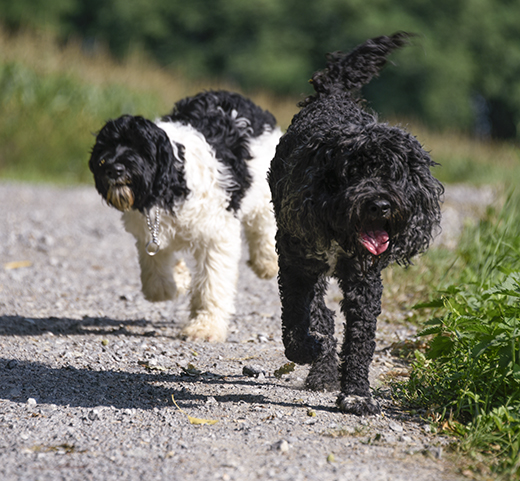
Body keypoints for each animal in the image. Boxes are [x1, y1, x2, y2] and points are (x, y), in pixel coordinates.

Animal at [91, 90, 282, 342]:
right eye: (106, 147)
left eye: (141, 148)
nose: (113, 169)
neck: (172, 181)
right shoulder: (148, 232)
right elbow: (156, 281)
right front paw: (180, 278)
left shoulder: (216, 236)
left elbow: (211, 284)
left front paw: (205, 326)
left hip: (263, 187)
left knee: (263, 224)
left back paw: (267, 262)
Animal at [268, 32, 442, 416]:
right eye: (354, 171)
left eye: (394, 174)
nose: (380, 205)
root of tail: (332, 93)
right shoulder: (295, 263)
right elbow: (296, 319)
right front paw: (309, 349)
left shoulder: (365, 279)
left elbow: (361, 337)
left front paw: (357, 393)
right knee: (319, 314)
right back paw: (320, 364)